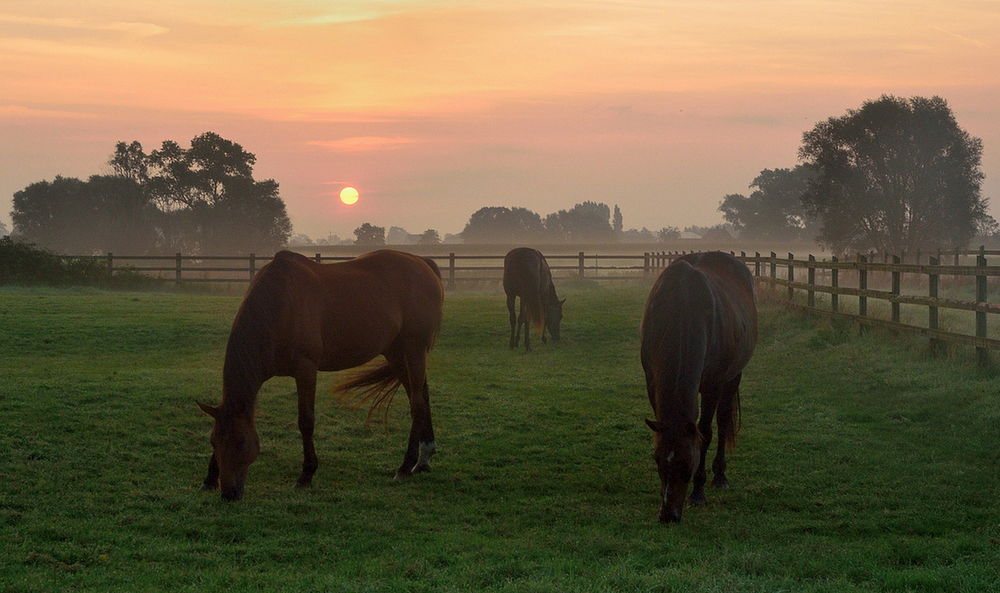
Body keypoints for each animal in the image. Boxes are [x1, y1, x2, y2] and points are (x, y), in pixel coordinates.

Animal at [197, 249, 444, 501]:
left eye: (241, 441)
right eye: (213, 442)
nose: (229, 493)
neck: (280, 304)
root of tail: (422, 262)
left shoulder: (306, 370)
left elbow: (306, 421)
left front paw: (306, 475)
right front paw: (209, 479)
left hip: (413, 349)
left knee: (417, 403)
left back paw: (406, 466)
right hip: (395, 353)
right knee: (421, 396)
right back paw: (424, 457)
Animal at [640, 251, 757, 523]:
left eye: (688, 465)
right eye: (657, 461)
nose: (668, 515)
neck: (680, 307)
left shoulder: (713, 383)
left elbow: (706, 432)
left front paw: (698, 491)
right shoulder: (652, 381)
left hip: (733, 376)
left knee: (723, 421)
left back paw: (720, 476)